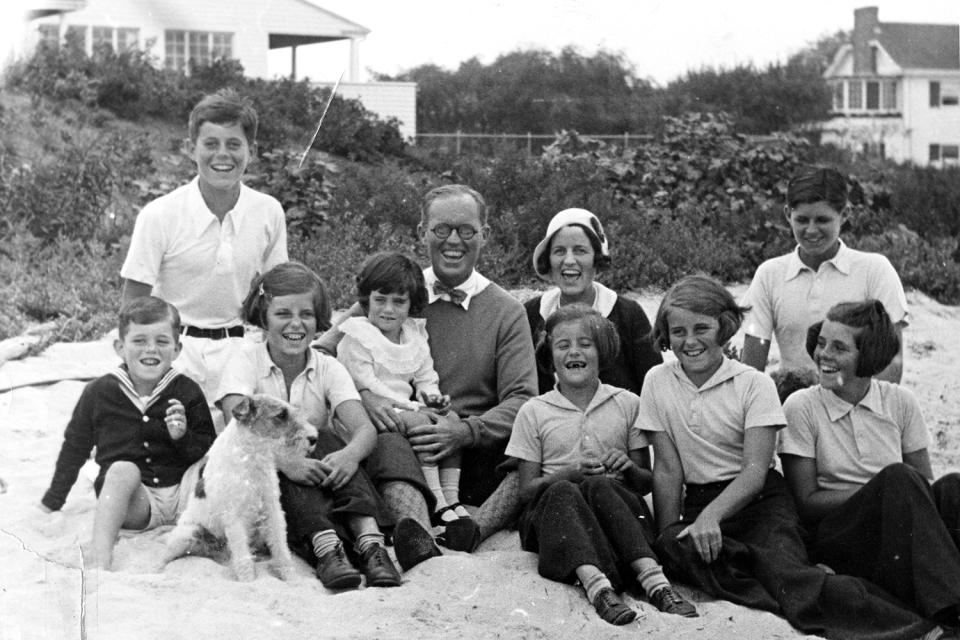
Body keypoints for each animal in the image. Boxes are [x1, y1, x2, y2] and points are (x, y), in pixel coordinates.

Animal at [163, 392, 316, 584]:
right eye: (281, 415)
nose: (314, 438)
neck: (251, 456)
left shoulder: (272, 510)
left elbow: (280, 547)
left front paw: (290, 577)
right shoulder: (234, 516)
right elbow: (243, 558)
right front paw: (248, 581)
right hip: (188, 534)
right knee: (167, 557)